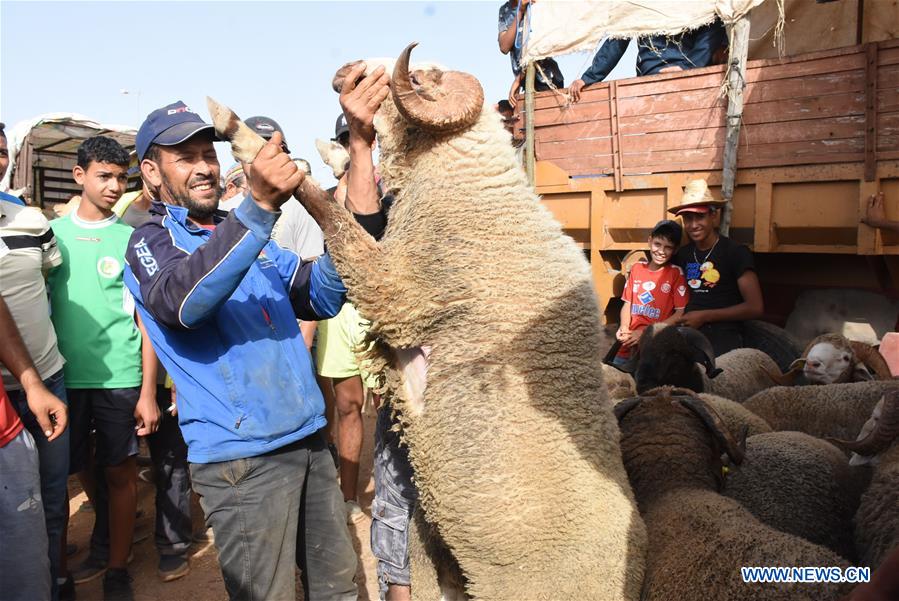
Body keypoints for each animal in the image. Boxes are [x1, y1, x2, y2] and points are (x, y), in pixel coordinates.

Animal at [205, 43, 648, 600]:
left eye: (412, 77)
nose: (343, 71)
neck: (469, 184)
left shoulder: (396, 291)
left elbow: (329, 211)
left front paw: (238, 132)